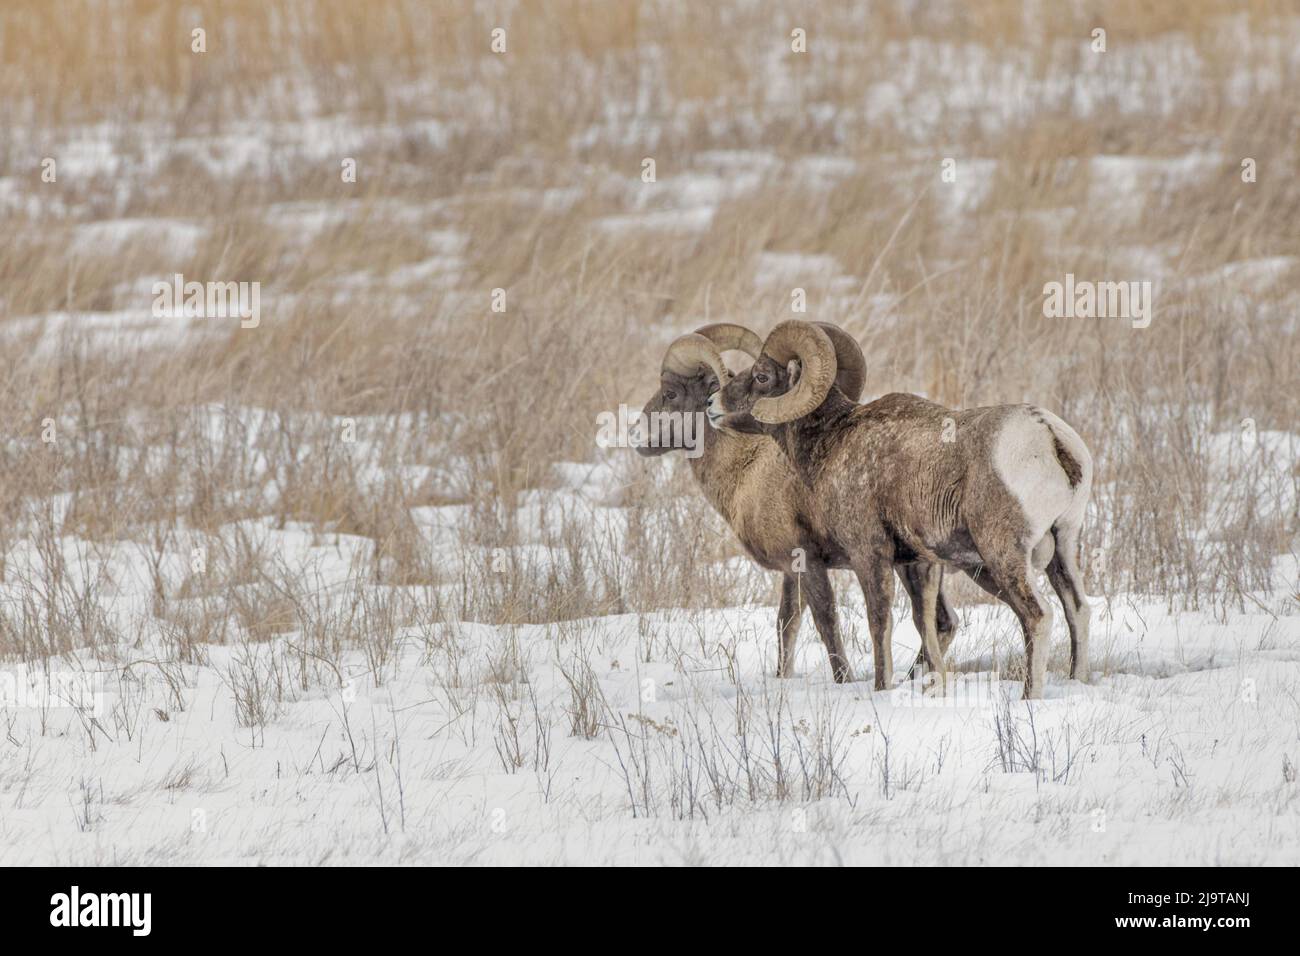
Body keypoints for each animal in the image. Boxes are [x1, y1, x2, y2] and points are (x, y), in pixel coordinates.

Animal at [634, 322, 958, 683]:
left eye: (670, 393)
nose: (637, 437)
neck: (745, 469)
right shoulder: (791, 574)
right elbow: (786, 625)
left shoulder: (806, 563)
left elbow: (826, 623)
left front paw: (844, 680)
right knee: (942, 622)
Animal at [709, 319, 1093, 699]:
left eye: (761, 376)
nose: (712, 404)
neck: (832, 443)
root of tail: (1050, 437)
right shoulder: (917, 563)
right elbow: (926, 623)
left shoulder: (869, 554)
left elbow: (880, 621)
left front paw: (882, 688)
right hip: (1063, 546)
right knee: (1077, 608)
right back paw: (1078, 680)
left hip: (1004, 556)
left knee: (1037, 616)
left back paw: (1030, 695)